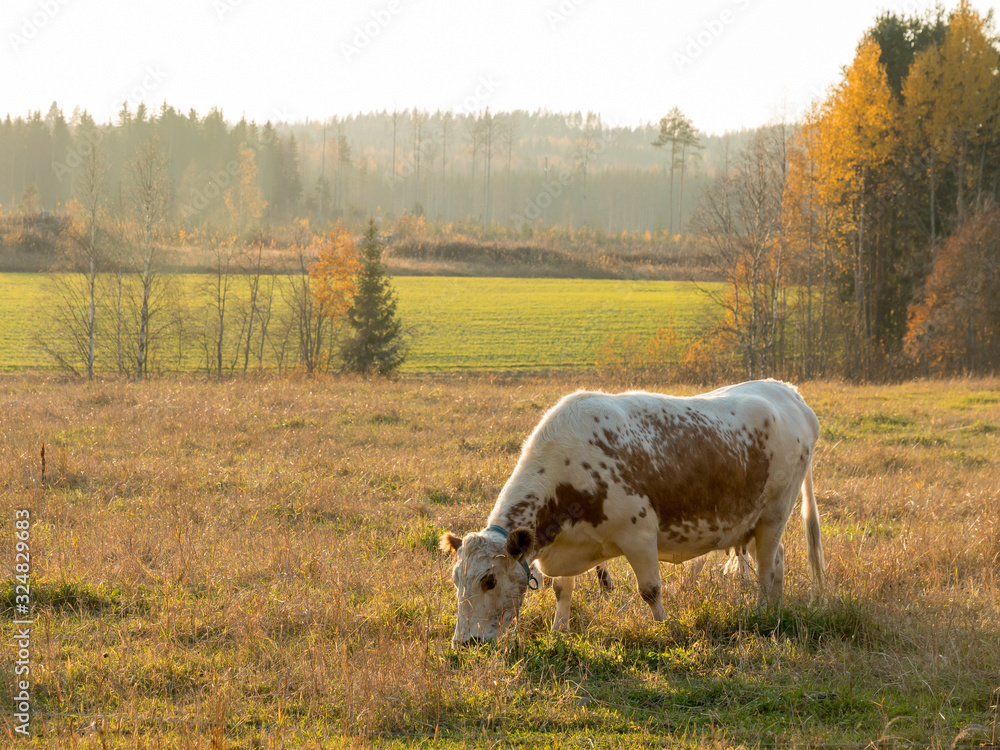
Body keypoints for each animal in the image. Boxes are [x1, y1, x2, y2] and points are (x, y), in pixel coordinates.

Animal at [440, 379, 824, 644]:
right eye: (456, 580)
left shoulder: (638, 534)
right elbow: (562, 590)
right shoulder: (563, 541)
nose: (465, 642)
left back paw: (762, 611)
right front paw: (559, 631)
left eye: (489, 580)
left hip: (775, 512)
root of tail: (786, 391)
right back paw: (775, 609)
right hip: (755, 523)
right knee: (777, 559)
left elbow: (650, 590)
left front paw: (668, 629)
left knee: (765, 569)